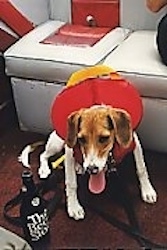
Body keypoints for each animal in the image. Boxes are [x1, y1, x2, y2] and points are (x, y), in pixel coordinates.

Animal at [37, 66, 157, 219]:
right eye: (81, 139)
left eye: (104, 138)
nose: (91, 169)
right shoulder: (69, 151)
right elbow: (71, 183)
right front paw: (73, 207)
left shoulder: (134, 142)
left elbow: (141, 168)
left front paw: (147, 190)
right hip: (57, 143)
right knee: (43, 155)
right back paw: (45, 169)